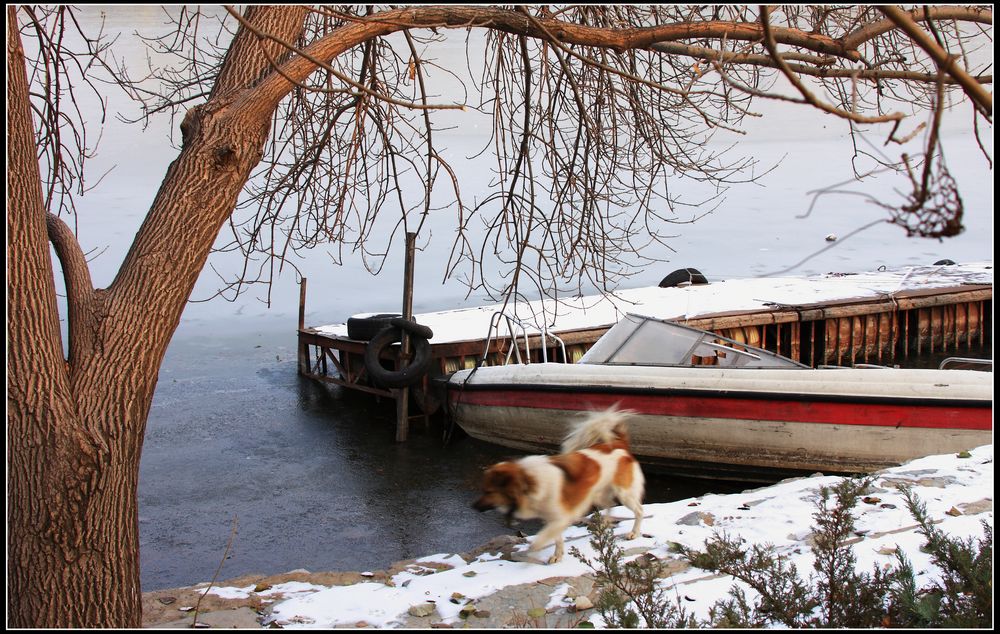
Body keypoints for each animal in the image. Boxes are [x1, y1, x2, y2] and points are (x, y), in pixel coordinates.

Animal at [472, 410, 644, 564]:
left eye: (488, 491)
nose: (473, 507)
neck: (529, 482)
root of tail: (619, 443)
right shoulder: (553, 518)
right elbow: (557, 539)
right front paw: (557, 556)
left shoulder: (560, 518)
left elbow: (541, 539)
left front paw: (535, 554)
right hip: (597, 494)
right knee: (610, 504)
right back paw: (604, 525)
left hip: (624, 493)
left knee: (638, 510)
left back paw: (634, 533)